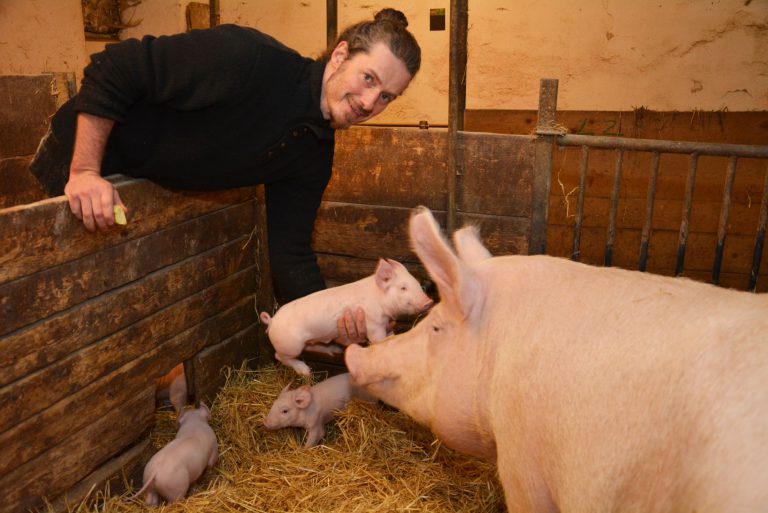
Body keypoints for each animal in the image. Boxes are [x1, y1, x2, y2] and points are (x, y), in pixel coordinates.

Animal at [260, 258, 432, 374]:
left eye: (418, 284)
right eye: (403, 288)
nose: (428, 302)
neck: (379, 299)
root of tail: (272, 320)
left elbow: (391, 335)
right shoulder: (374, 324)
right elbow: (378, 340)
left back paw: (334, 350)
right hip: (291, 345)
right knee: (279, 356)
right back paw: (306, 372)